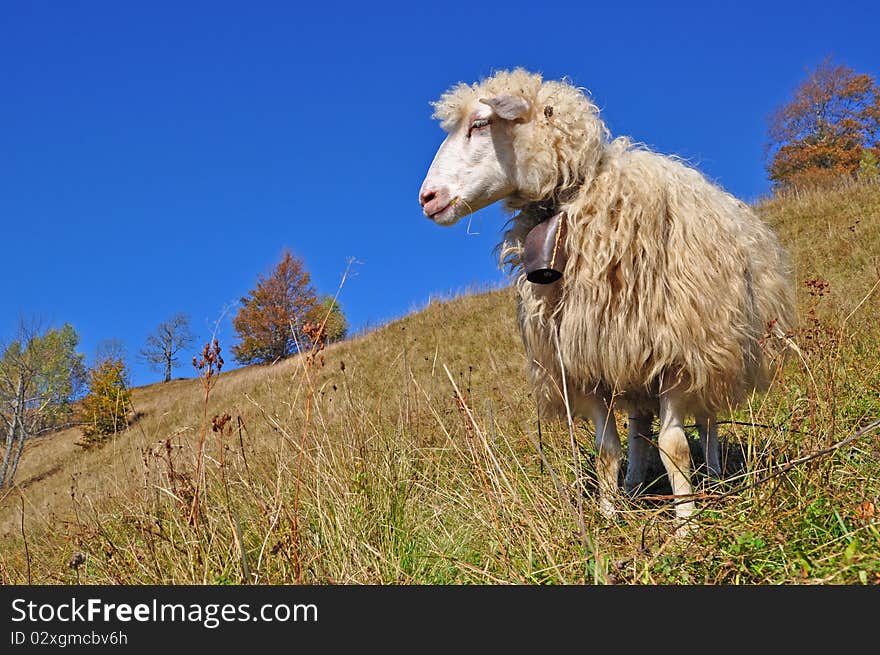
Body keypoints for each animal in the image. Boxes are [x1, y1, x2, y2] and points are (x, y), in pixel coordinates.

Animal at [416, 68, 796, 528]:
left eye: (481, 123)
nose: (427, 198)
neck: (573, 200)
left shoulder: (678, 354)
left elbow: (675, 446)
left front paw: (686, 525)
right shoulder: (586, 363)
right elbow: (605, 449)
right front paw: (608, 517)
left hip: (716, 347)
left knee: (707, 419)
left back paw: (715, 475)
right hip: (631, 359)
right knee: (638, 427)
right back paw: (633, 486)